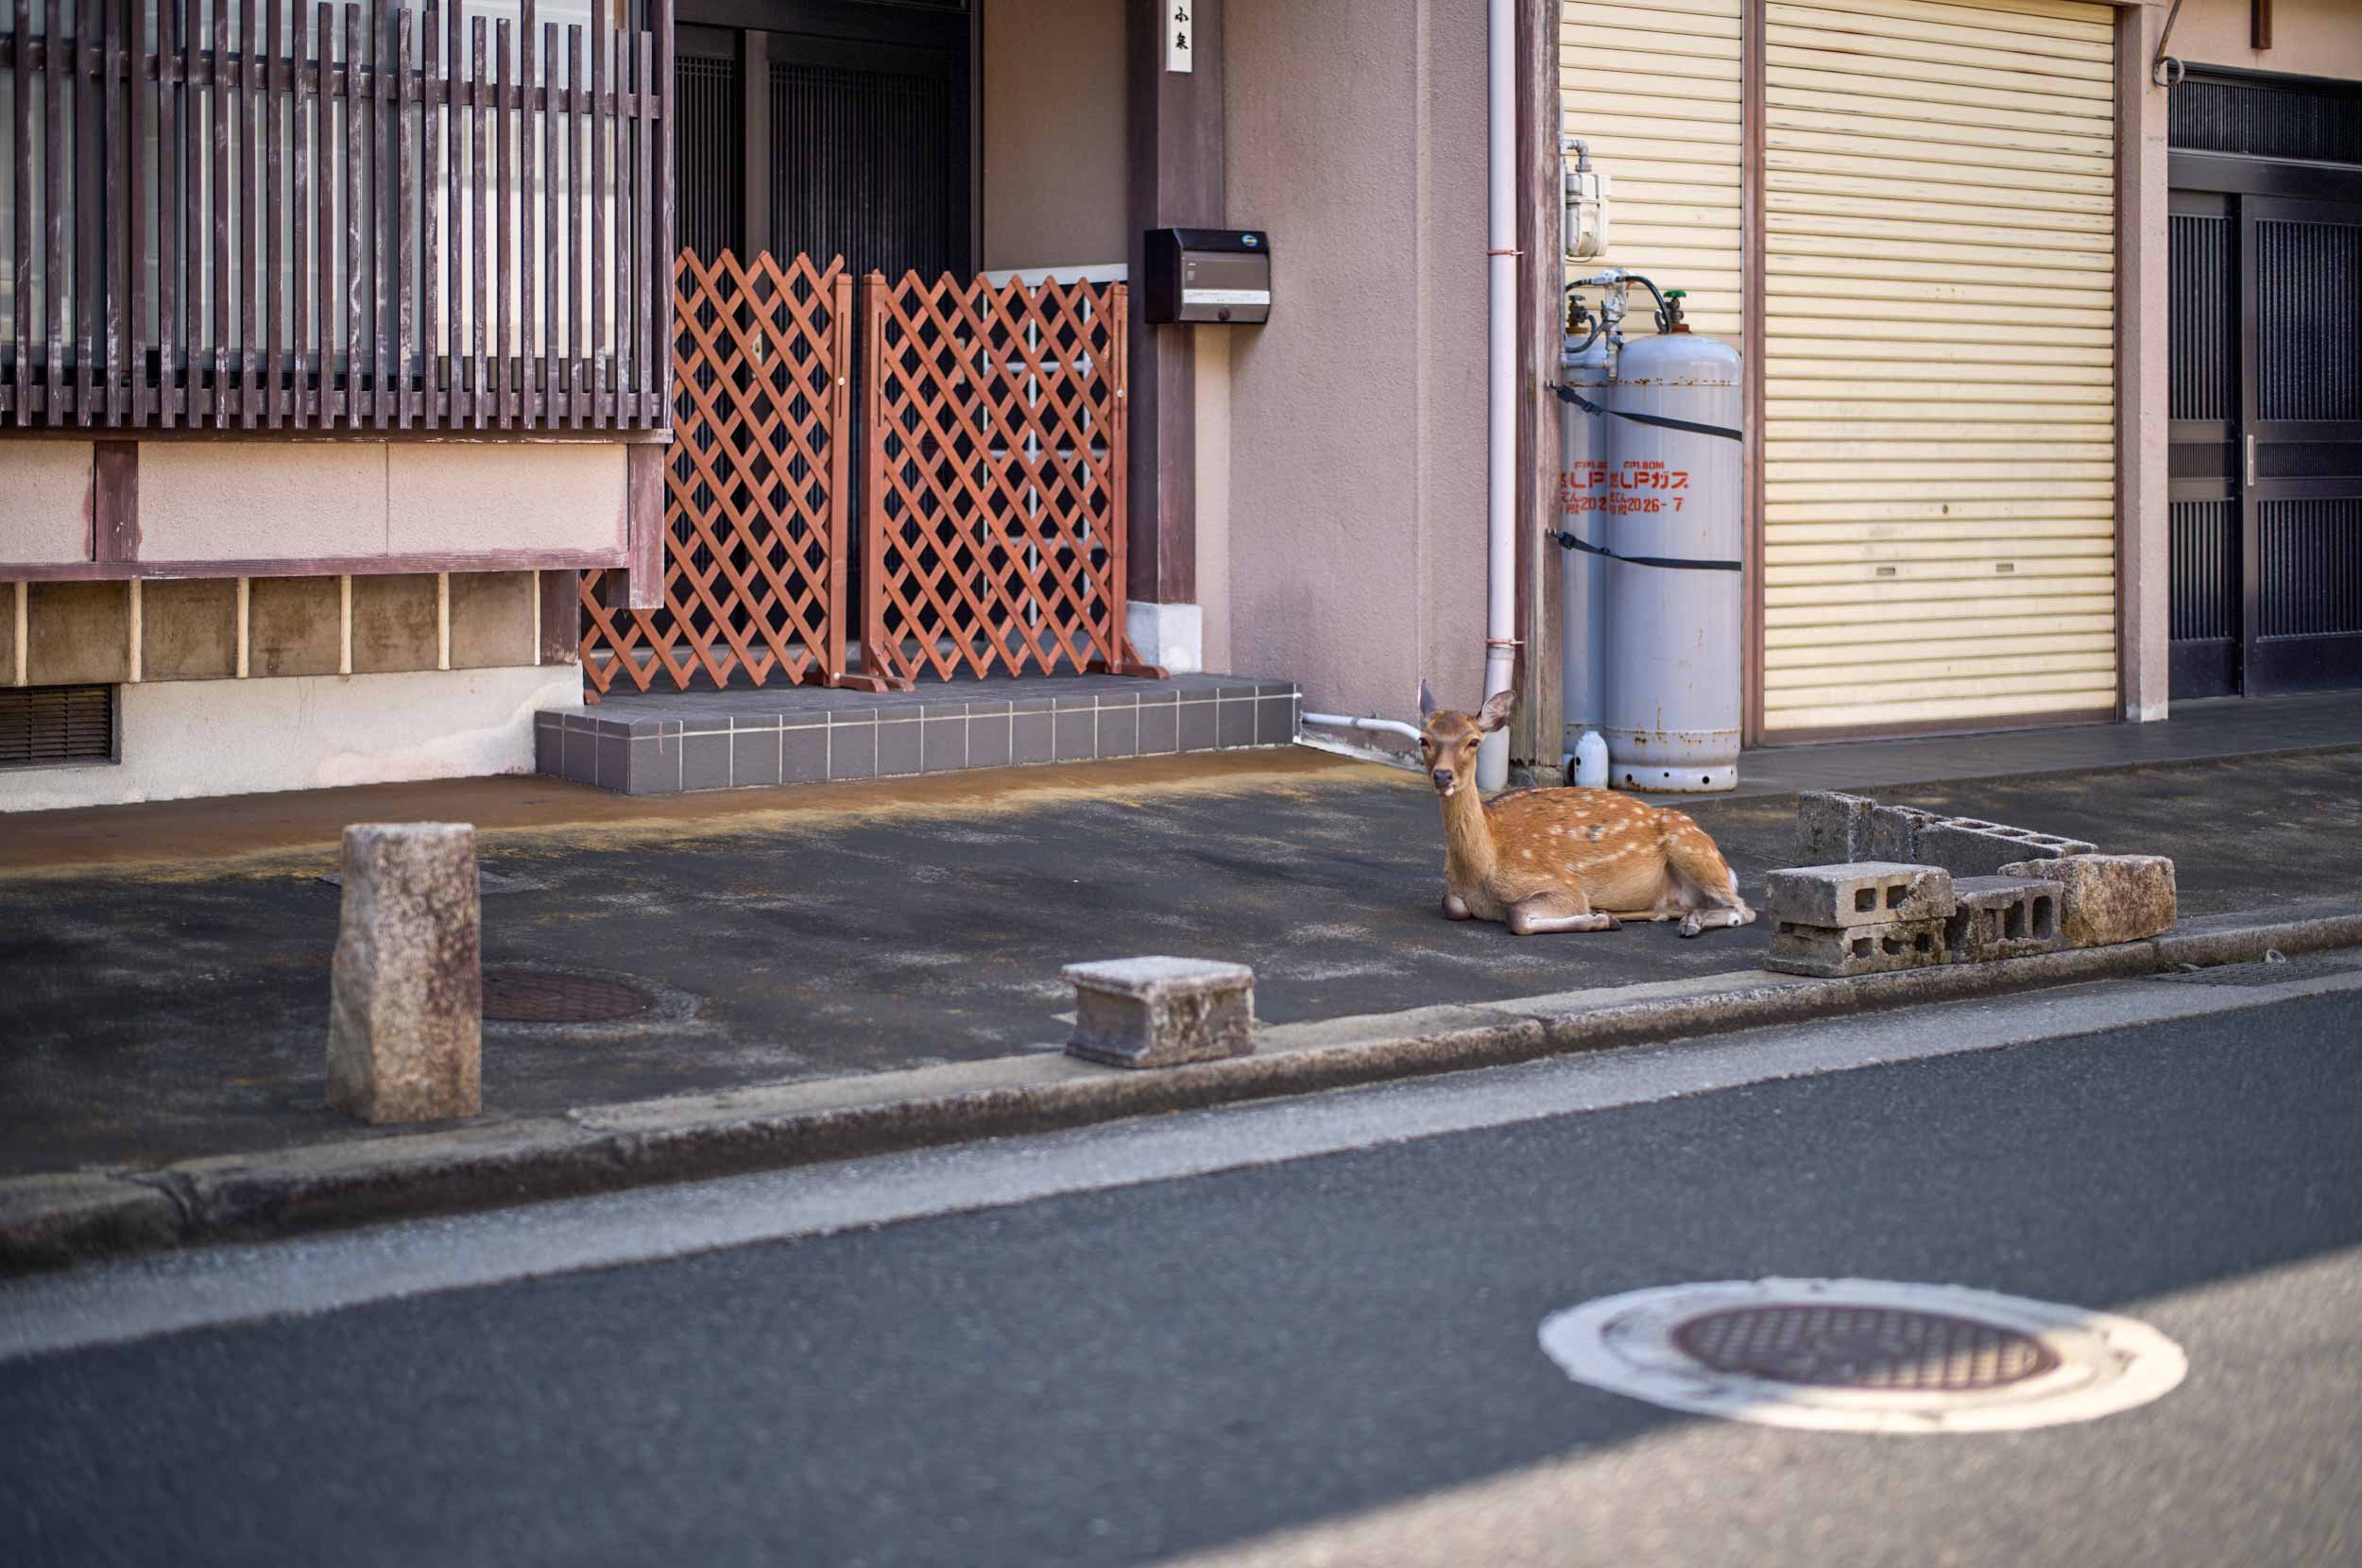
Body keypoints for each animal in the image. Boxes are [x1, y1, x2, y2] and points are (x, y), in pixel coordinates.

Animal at [1417, 682, 1755, 938]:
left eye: (1473, 741)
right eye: (1424, 739)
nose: (1443, 775)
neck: (1483, 867)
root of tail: (1728, 867)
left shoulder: (1560, 883)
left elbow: (1517, 915)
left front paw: (1598, 919)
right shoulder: (1456, 893)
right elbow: (1452, 904)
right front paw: (1603, 916)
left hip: (1692, 847)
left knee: (1744, 908)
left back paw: (1687, 923)